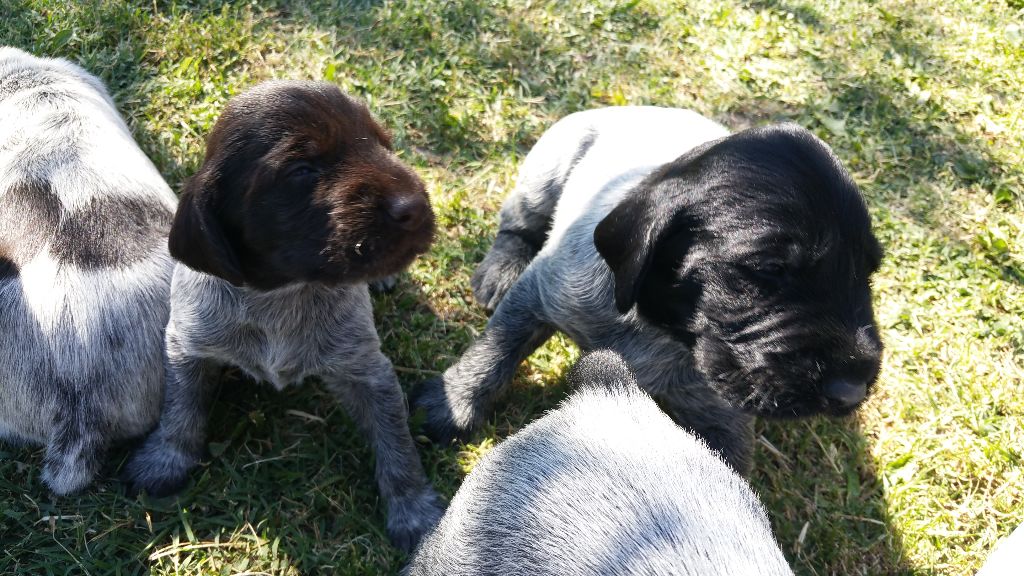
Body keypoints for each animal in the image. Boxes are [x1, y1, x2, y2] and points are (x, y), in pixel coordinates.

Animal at [120, 81, 444, 553]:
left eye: (383, 145)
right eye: (302, 170)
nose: (416, 205)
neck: (284, 292)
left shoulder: (366, 371)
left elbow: (396, 443)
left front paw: (413, 509)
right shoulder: (187, 345)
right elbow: (181, 408)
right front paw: (166, 458)